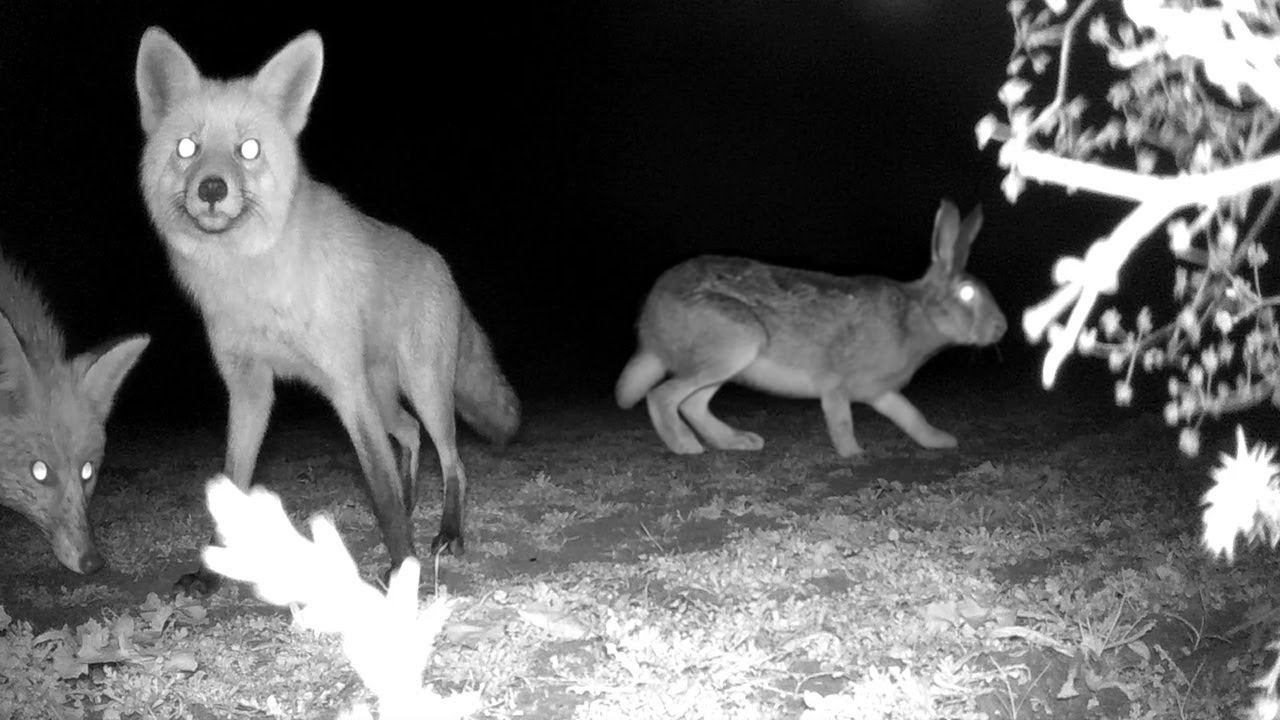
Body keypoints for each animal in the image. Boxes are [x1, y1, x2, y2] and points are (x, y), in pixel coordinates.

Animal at [134, 27, 520, 592]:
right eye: (187, 147)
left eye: (248, 149)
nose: (212, 189)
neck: (254, 280)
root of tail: (438, 261)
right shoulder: (250, 388)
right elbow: (233, 480)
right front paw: (208, 576)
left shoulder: (343, 383)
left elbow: (378, 485)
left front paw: (402, 567)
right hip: (383, 394)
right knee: (409, 435)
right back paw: (414, 504)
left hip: (422, 386)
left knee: (452, 459)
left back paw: (447, 531)